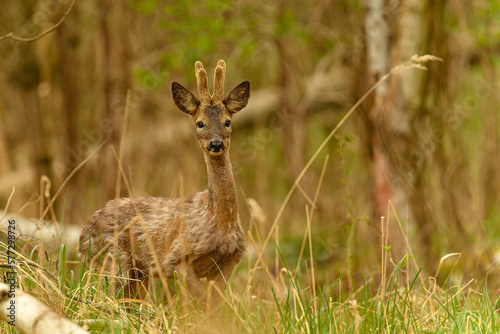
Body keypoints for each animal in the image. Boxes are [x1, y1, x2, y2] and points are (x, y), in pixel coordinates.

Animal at [79, 59, 250, 302]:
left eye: (227, 122)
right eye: (200, 123)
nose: (216, 144)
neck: (220, 222)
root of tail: (83, 233)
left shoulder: (229, 262)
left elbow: (214, 304)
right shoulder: (176, 259)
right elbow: (198, 302)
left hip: (138, 273)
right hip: (110, 257)